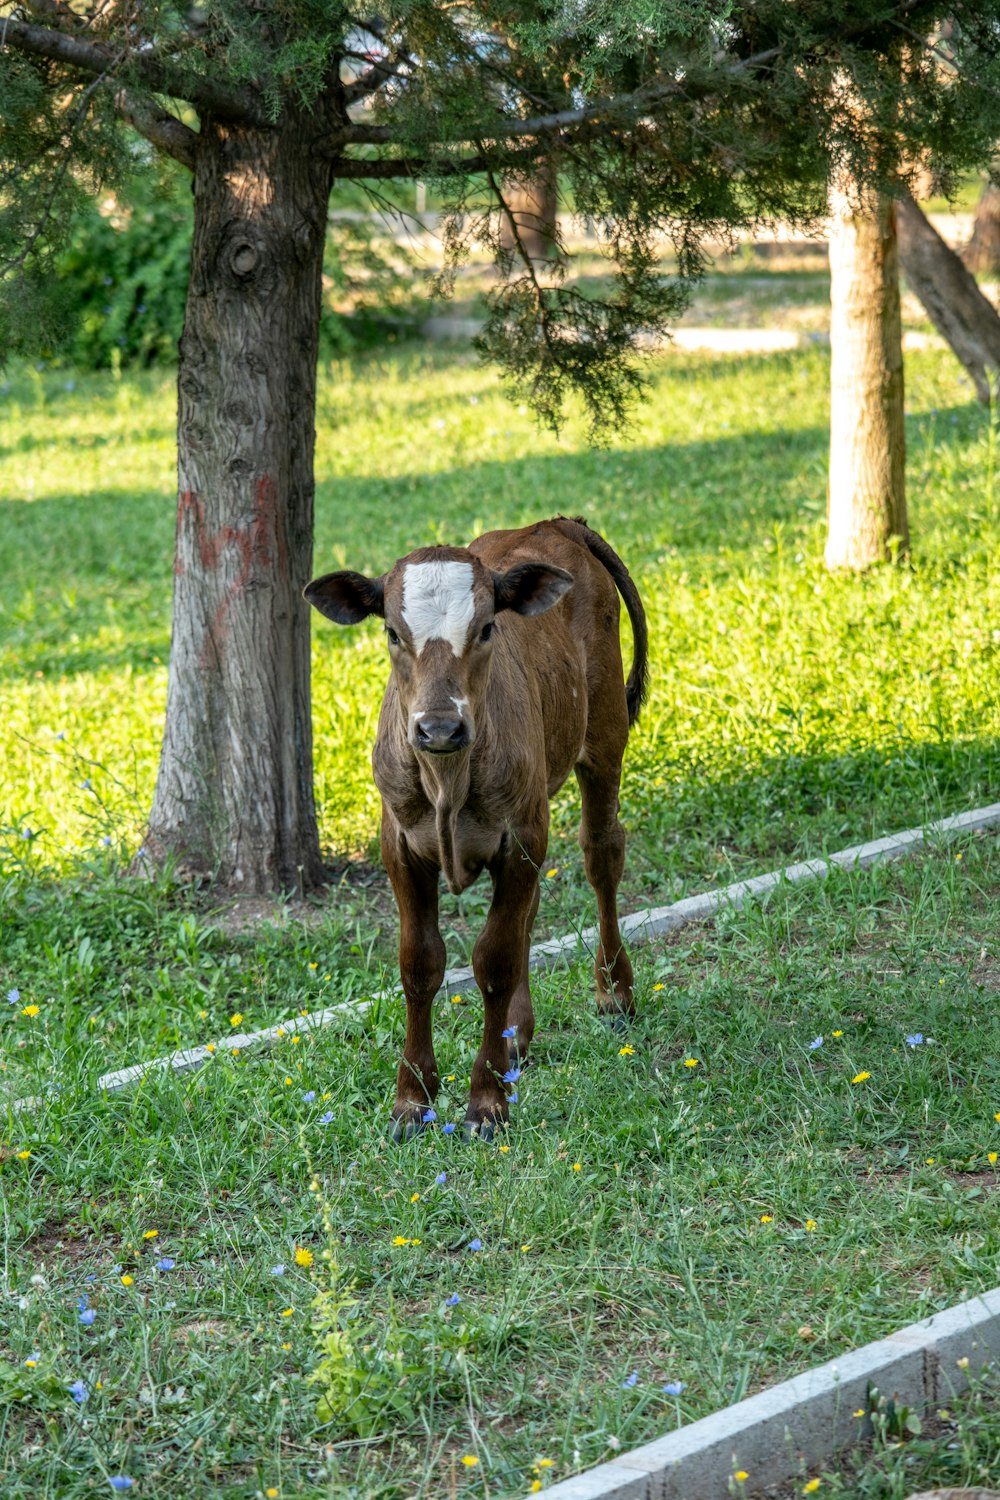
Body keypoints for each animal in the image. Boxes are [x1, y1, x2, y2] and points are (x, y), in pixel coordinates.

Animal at [307, 516, 650, 1134]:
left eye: (488, 627)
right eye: (392, 632)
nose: (440, 728)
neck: (447, 782)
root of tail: (557, 523)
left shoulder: (518, 839)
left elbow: (494, 959)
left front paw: (487, 1101)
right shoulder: (399, 846)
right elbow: (420, 963)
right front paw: (413, 1098)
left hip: (604, 736)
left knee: (601, 854)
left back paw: (614, 994)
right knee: (530, 912)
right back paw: (517, 1038)